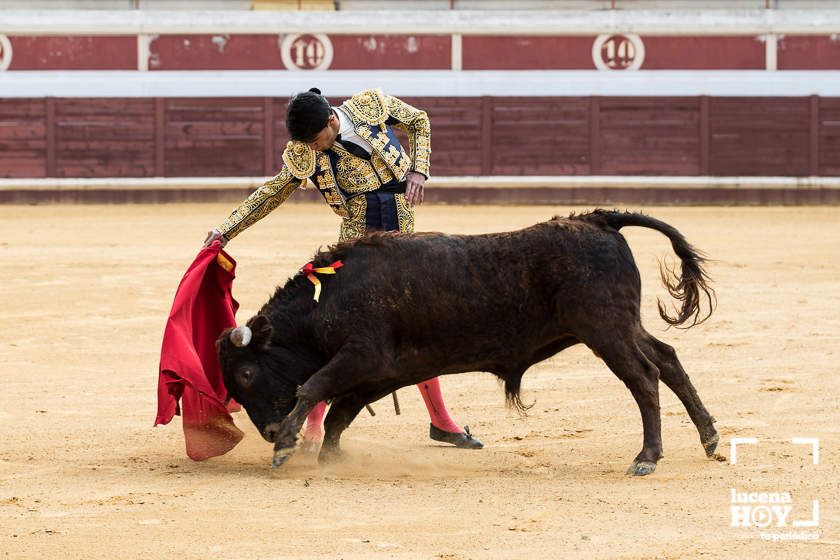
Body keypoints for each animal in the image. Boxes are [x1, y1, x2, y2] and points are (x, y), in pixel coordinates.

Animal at [217, 211, 716, 476]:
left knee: (645, 376)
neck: (330, 295)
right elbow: (341, 411)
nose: (267, 431)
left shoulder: (361, 356)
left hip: (605, 329)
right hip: (620, 325)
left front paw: (286, 446)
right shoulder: (382, 373)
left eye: (246, 372)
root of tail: (598, 220)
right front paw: (330, 458)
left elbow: (314, 387)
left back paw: (647, 458)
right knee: (668, 360)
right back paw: (709, 437)